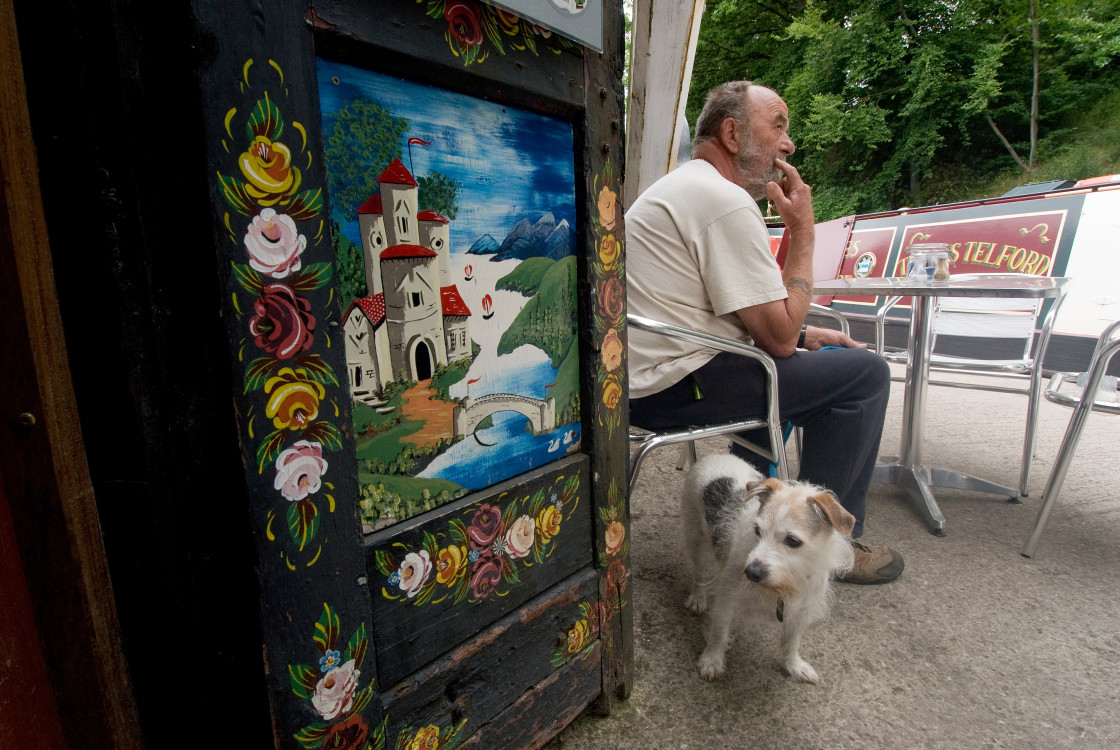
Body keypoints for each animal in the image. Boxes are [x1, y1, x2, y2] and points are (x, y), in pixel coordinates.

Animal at [676, 452, 851, 689]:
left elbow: (792, 640)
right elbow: (719, 632)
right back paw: (697, 597)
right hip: (693, 536)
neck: (783, 585)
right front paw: (712, 660)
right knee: (699, 572)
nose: (751, 572)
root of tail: (715, 455)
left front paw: (794, 665)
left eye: (793, 541)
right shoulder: (726, 601)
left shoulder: (801, 610)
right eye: (757, 530)